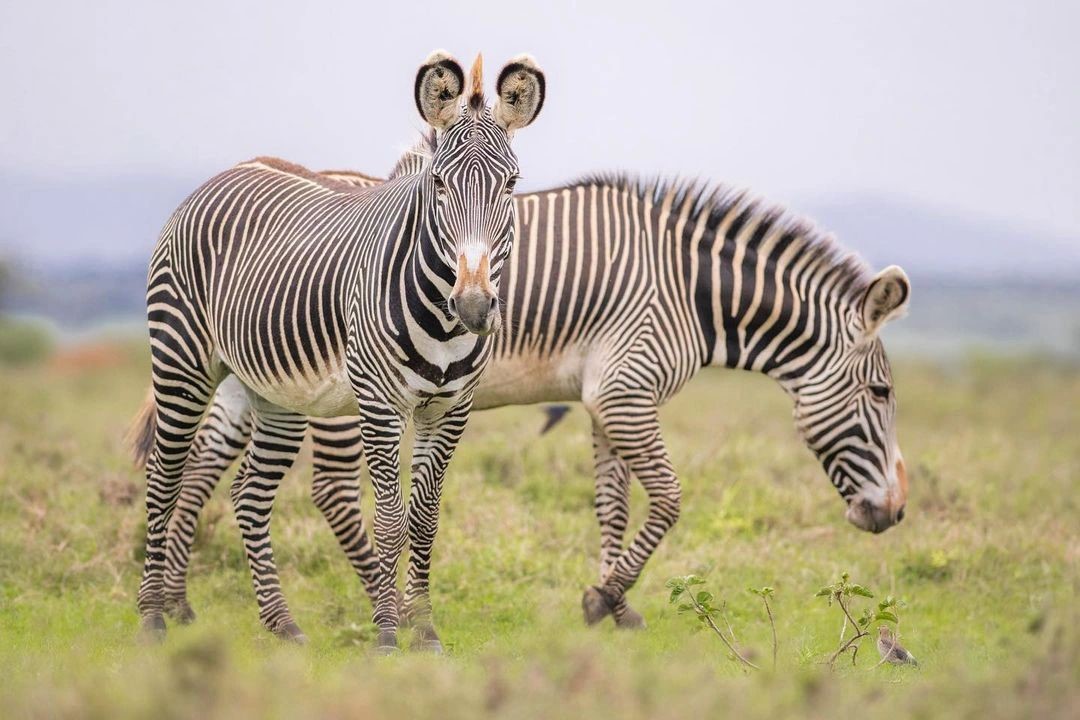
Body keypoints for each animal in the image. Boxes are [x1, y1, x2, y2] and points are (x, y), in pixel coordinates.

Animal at [131, 50, 546, 652]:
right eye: (439, 183)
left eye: (511, 183)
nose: (474, 305)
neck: (445, 324)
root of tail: (226, 173)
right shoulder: (378, 404)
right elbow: (391, 519)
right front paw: (389, 634)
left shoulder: (450, 409)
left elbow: (425, 518)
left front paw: (426, 631)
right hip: (180, 360)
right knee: (164, 478)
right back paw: (152, 621)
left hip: (274, 391)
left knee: (249, 496)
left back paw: (282, 625)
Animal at [137, 162, 912, 633]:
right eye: (881, 391)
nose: (897, 514)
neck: (687, 290)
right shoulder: (628, 390)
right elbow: (667, 499)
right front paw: (604, 598)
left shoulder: (605, 398)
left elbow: (613, 503)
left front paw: (614, 604)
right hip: (328, 389)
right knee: (324, 488)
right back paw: (376, 603)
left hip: (253, 375)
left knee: (203, 469)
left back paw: (180, 602)